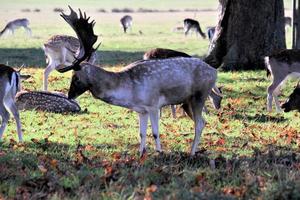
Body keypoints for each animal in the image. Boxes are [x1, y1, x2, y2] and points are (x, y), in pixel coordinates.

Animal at [57, 6, 221, 156]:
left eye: (75, 76)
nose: (69, 95)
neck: (129, 93)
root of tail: (215, 72)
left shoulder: (153, 104)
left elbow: (155, 132)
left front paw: (159, 152)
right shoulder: (141, 110)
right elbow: (141, 133)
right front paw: (141, 153)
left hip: (200, 95)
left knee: (200, 123)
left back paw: (192, 153)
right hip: (187, 102)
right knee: (203, 121)